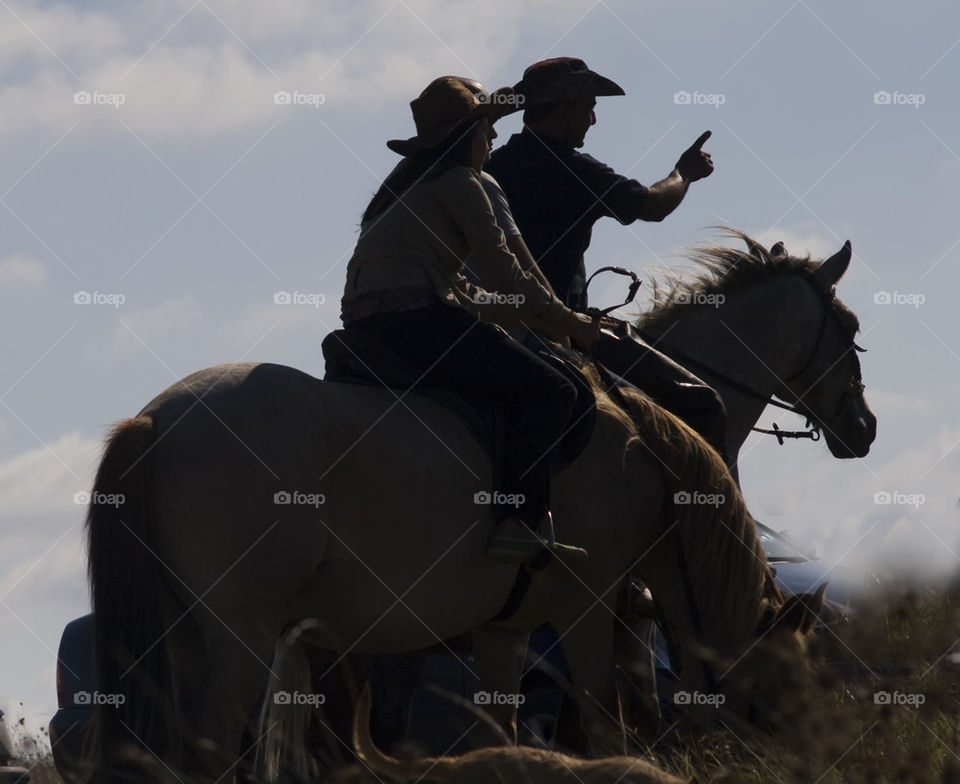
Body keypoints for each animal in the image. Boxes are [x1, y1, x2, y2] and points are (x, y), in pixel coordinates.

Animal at [84, 274, 816, 776]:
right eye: (778, 684)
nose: (790, 764)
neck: (644, 456)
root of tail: (154, 421)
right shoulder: (589, 607)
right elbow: (607, 725)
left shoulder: (504, 630)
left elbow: (501, 737)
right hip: (244, 634)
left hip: (189, 635)